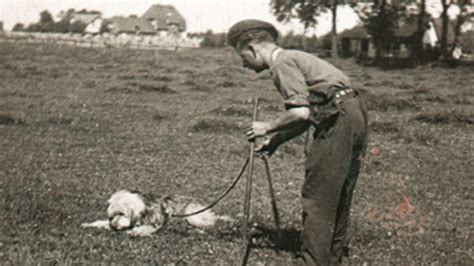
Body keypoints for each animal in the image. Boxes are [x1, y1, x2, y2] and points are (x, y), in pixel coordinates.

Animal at [81, 189, 233, 237]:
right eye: (112, 215)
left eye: (122, 213)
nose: (113, 226)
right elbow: (100, 222)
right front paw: (89, 224)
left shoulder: (154, 224)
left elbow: (143, 228)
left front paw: (135, 232)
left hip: (193, 215)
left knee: (211, 226)